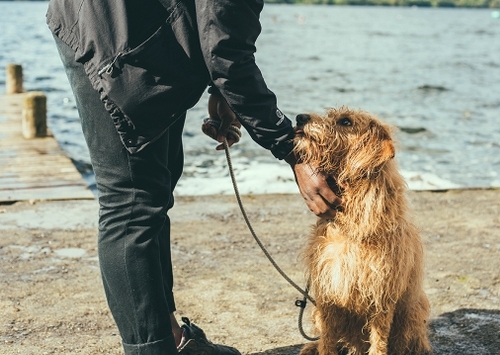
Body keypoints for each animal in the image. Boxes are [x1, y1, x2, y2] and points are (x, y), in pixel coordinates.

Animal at [294, 108, 432, 355]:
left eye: (346, 121)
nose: (300, 117)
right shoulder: (328, 293)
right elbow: (328, 340)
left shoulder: (381, 297)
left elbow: (378, 342)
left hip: (412, 313)